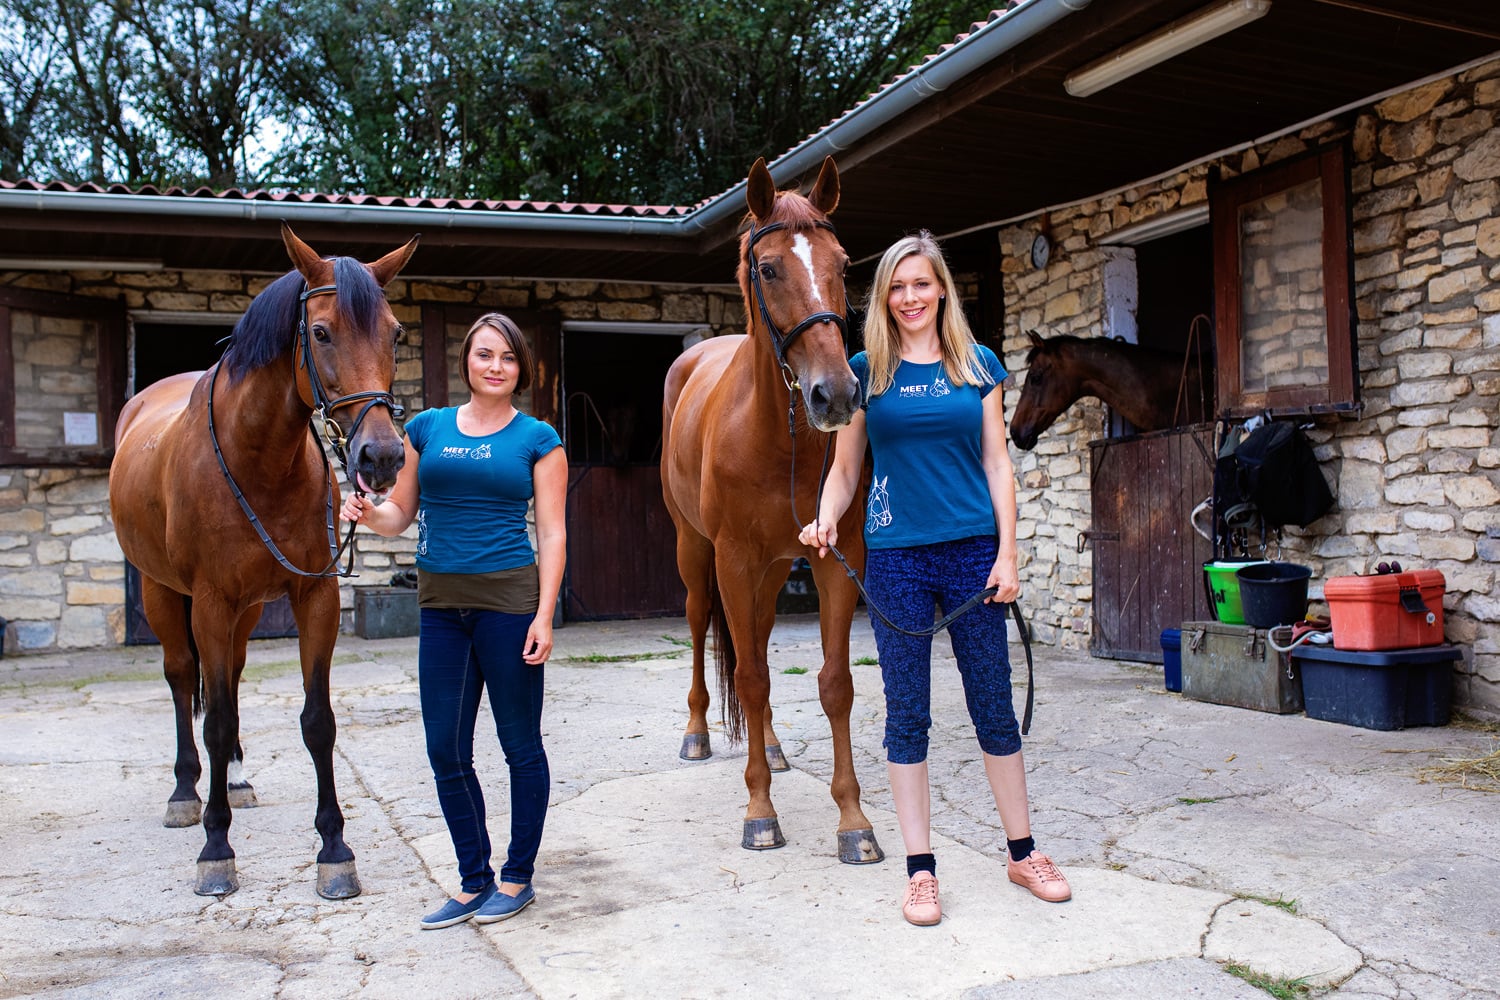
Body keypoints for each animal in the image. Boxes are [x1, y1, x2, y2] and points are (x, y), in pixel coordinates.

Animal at [110, 226, 420, 899]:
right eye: (321, 332)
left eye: (395, 334)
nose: (382, 458)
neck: (259, 460)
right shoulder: (210, 602)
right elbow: (214, 719)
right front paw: (215, 848)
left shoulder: (314, 597)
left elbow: (317, 720)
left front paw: (334, 848)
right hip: (163, 593)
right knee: (183, 680)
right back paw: (187, 792)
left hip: (248, 612)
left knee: (232, 677)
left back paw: (233, 780)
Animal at [663, 160, 882, 863]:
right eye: (767, 268)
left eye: (843, 263)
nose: (835, 394)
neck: (775, 434)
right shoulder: (733, 558)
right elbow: (753, 677)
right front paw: (759, 813)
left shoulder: (835, 557)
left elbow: (834, 683)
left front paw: (854, 821)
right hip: (698, 553)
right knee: (705, 628)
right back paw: (698, 734)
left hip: (770, 569)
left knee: (754, 639)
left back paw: (778, 747)